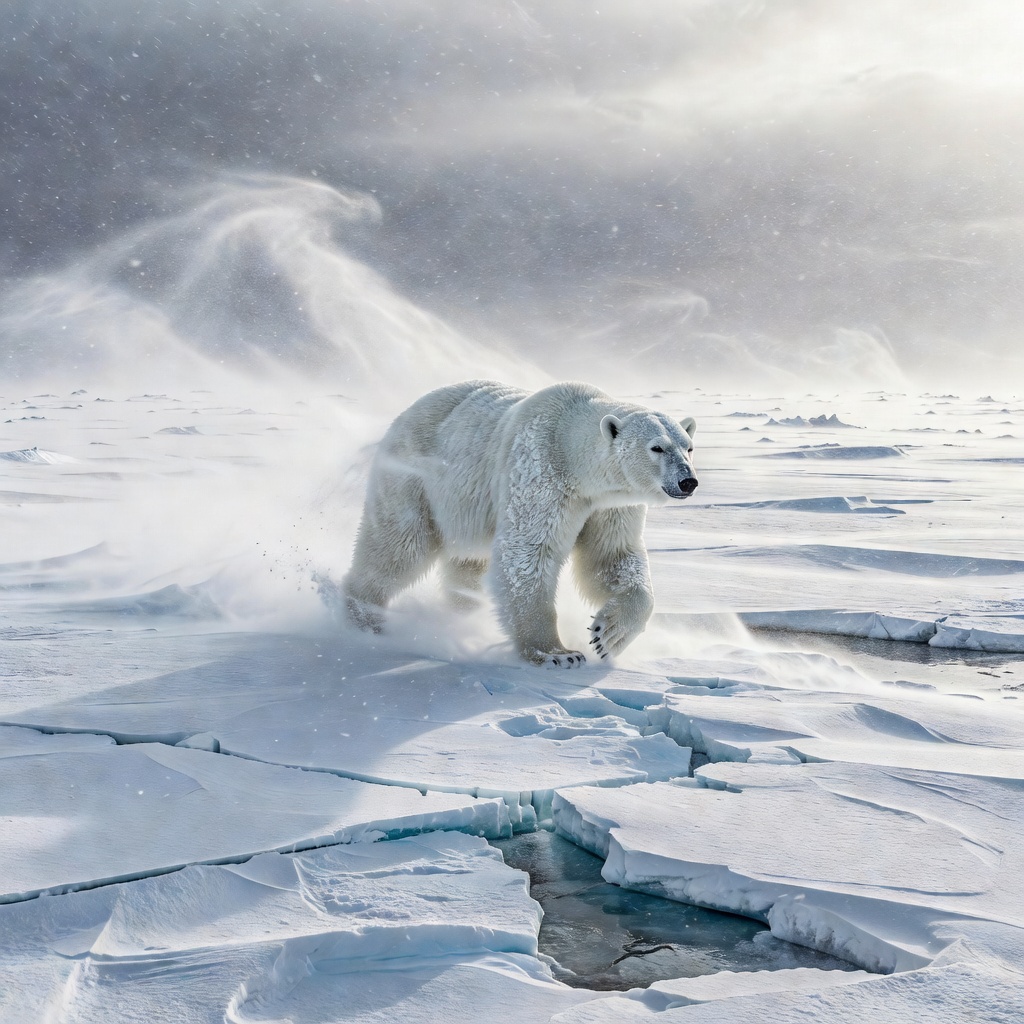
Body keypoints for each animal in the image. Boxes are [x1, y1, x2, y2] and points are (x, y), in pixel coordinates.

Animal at [343, 380, 698, 667]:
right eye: (656, 447)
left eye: (688, 447)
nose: (688, 481)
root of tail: (404, 414)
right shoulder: (541, 473)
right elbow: (528, 553)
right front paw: (558, 654)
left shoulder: (609, 504)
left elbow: (612, 557)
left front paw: (608, 635)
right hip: (413, 479)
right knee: (398, 546)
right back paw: (365, 618)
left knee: (466, 565)